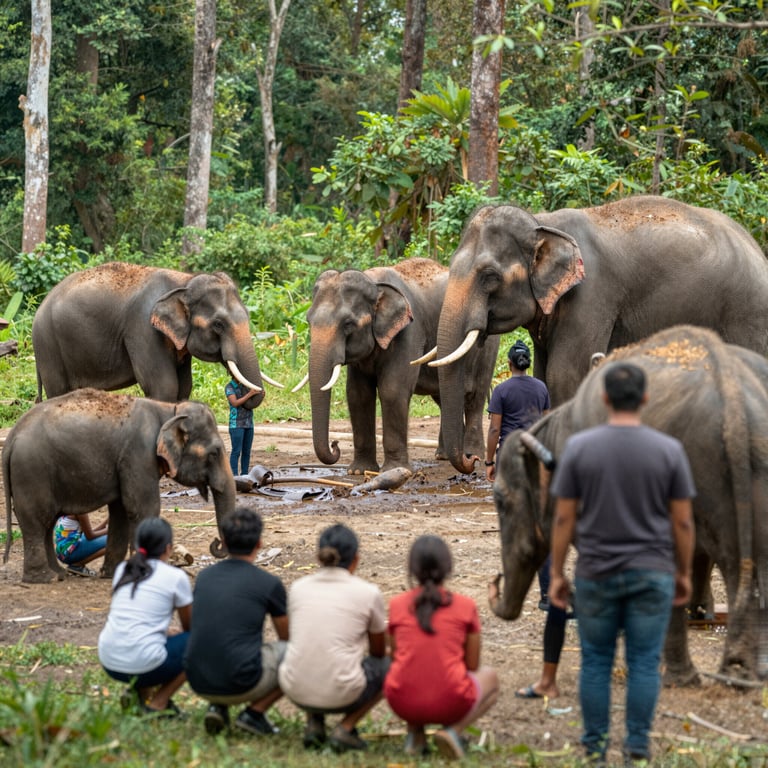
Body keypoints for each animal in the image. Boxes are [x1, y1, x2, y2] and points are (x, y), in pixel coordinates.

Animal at [3, 388, 236, 583]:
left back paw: (58, 575)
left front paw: (111, 574)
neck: (169, 410)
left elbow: (121, 512)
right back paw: (44, 579)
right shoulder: (138, 454)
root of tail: (11, 438)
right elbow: (143, 509)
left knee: (47, 522)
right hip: (32, 471)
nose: (216, 542)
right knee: (37, 521)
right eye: (214, 453)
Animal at [32, 262, 272, 408]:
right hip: (47, 344)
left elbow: (184, 386)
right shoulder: (142, 329)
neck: (184, 282)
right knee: (58, 391)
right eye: (219, 324)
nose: (247, 393)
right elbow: (164, 385)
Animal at [306, 258, 499, 473]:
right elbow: (358, 394)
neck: (375, 283)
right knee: (444, 397)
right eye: (308, 320)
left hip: (487, 345)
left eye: (348, 324)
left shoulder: (410, 332)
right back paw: (443, 456)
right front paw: (359, 471)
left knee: (475, 397)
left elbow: (392, 390)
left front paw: (393, 470)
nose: (335, 444)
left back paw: (474, 457)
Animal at [431, 196, 768, 473]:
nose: (473, 460)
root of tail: (757, 250)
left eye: (489, 277)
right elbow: (542, 375)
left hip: (746, 312)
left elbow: (564, 373)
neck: (544, 224)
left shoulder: (591, 295)